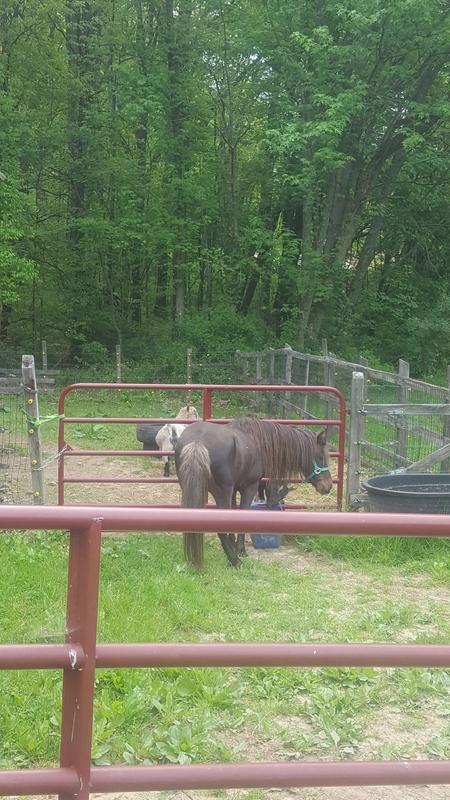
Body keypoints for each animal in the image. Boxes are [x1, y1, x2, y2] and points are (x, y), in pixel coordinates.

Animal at [174, 416, 332, 568]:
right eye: (320, 457)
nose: (328, 486)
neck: (257, 440)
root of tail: (197, 441)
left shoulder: (234, 490)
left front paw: (235, 546)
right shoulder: (249, 487)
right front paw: (240, 550)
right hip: (221, 494)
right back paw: (234, 561)